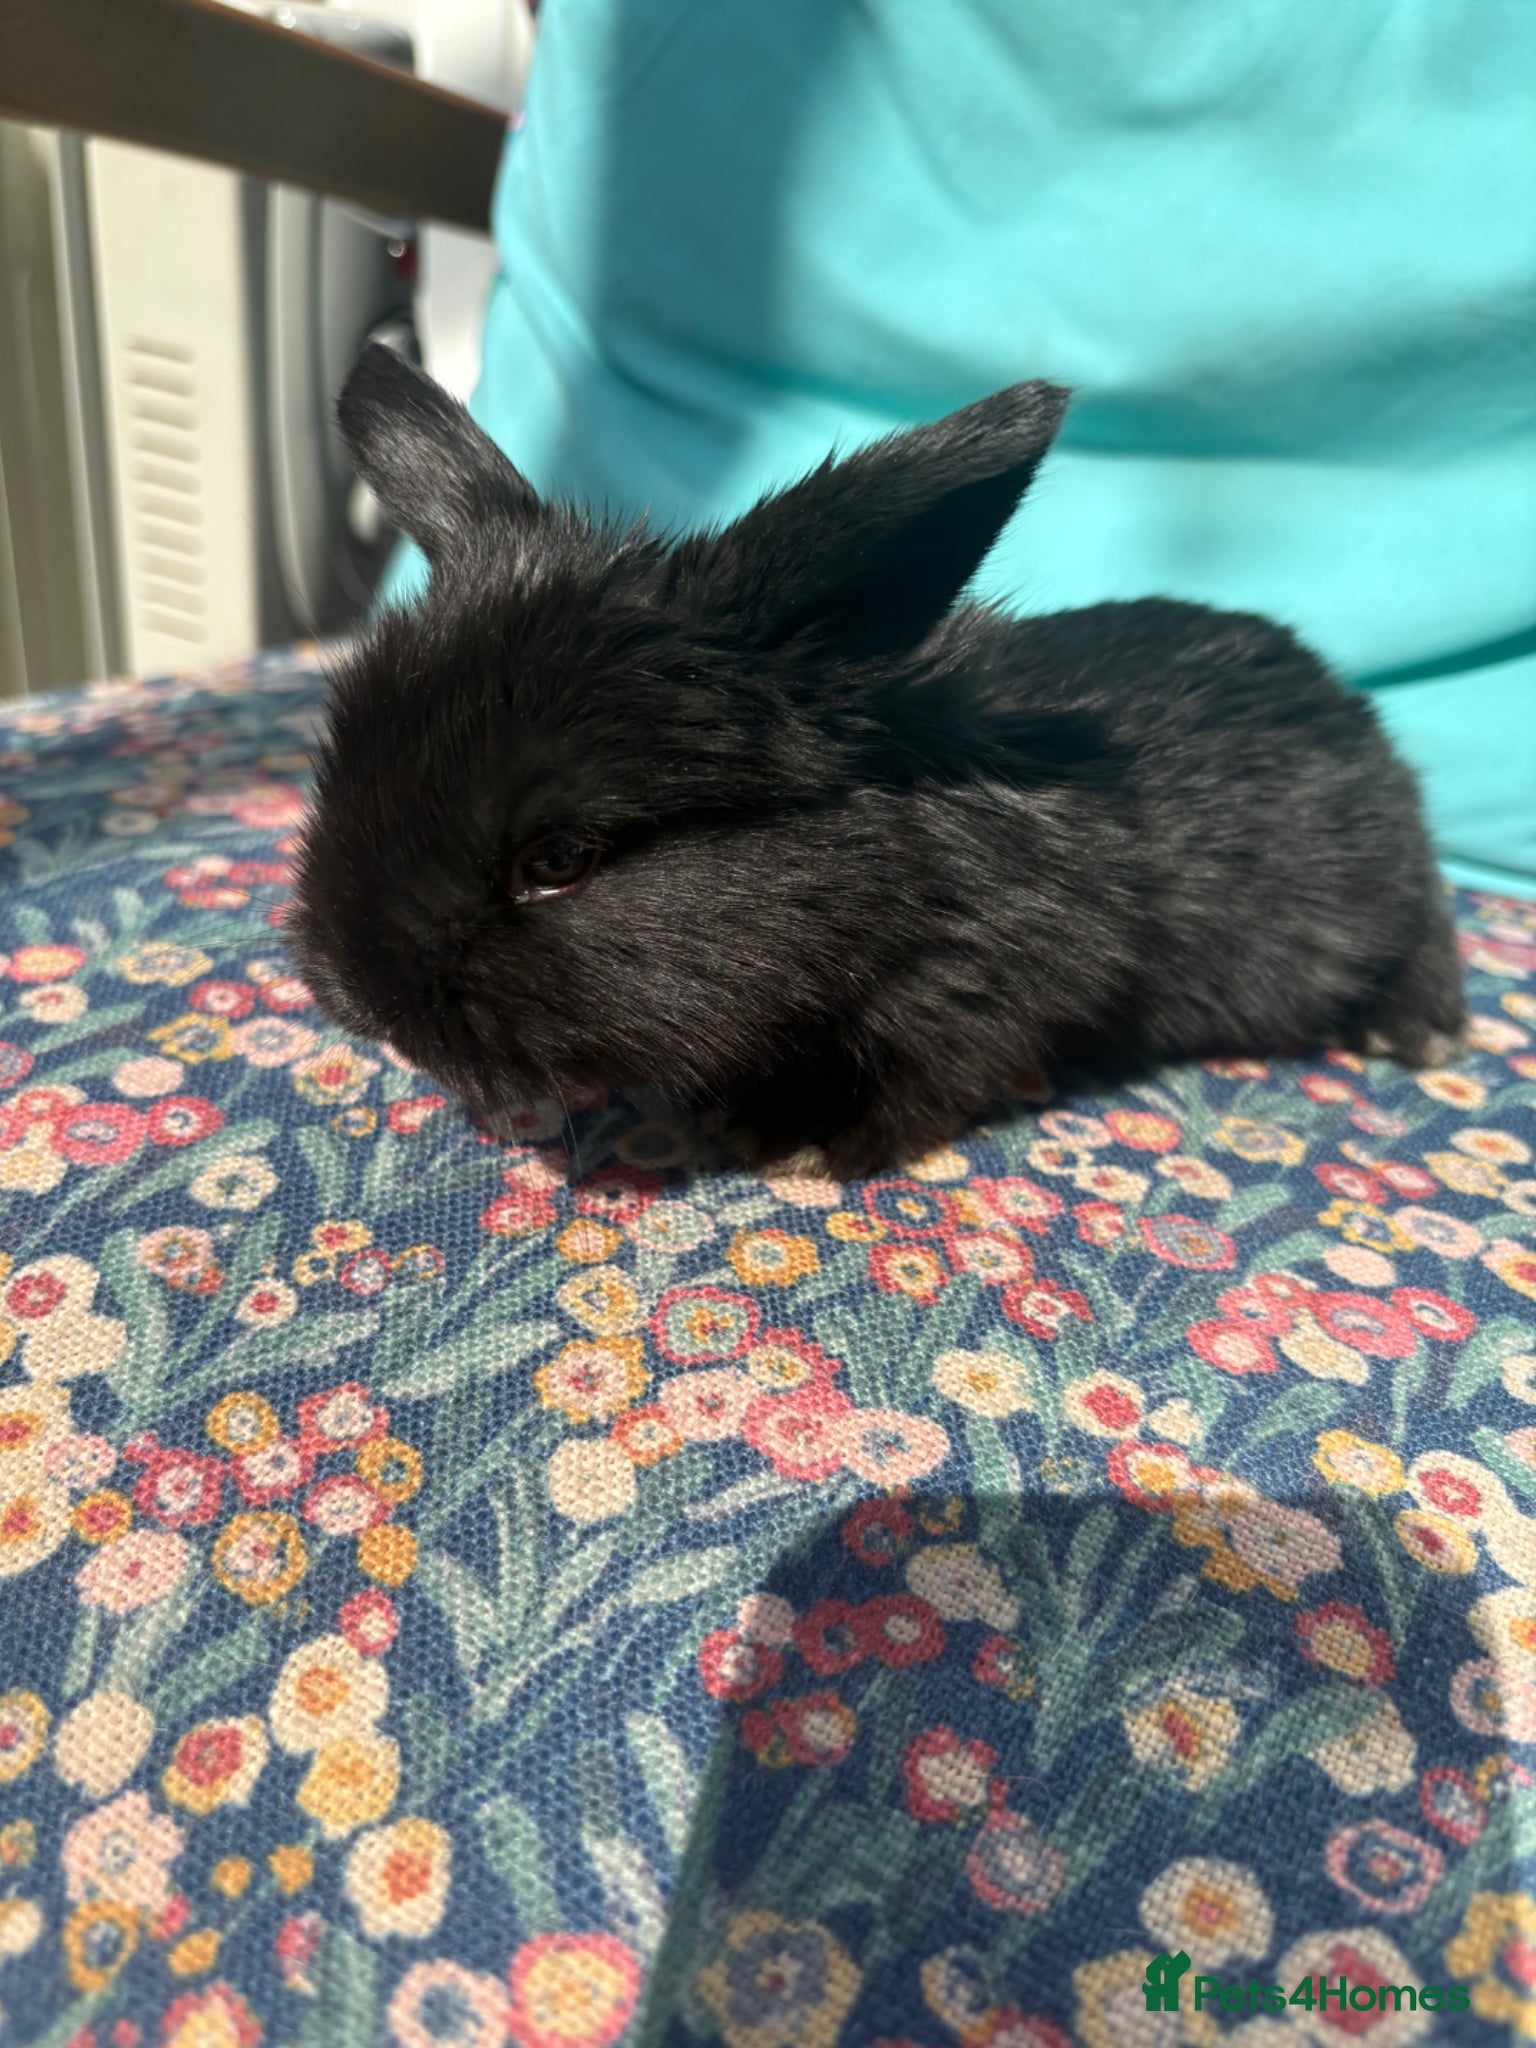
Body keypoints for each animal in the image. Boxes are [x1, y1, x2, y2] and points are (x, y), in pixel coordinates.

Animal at [287, 342, 1467, 1180]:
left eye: (559, 859)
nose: (359, 1001)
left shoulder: (989, 990)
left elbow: (932, 1072)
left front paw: (802, 1141)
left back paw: (1421, 1032)